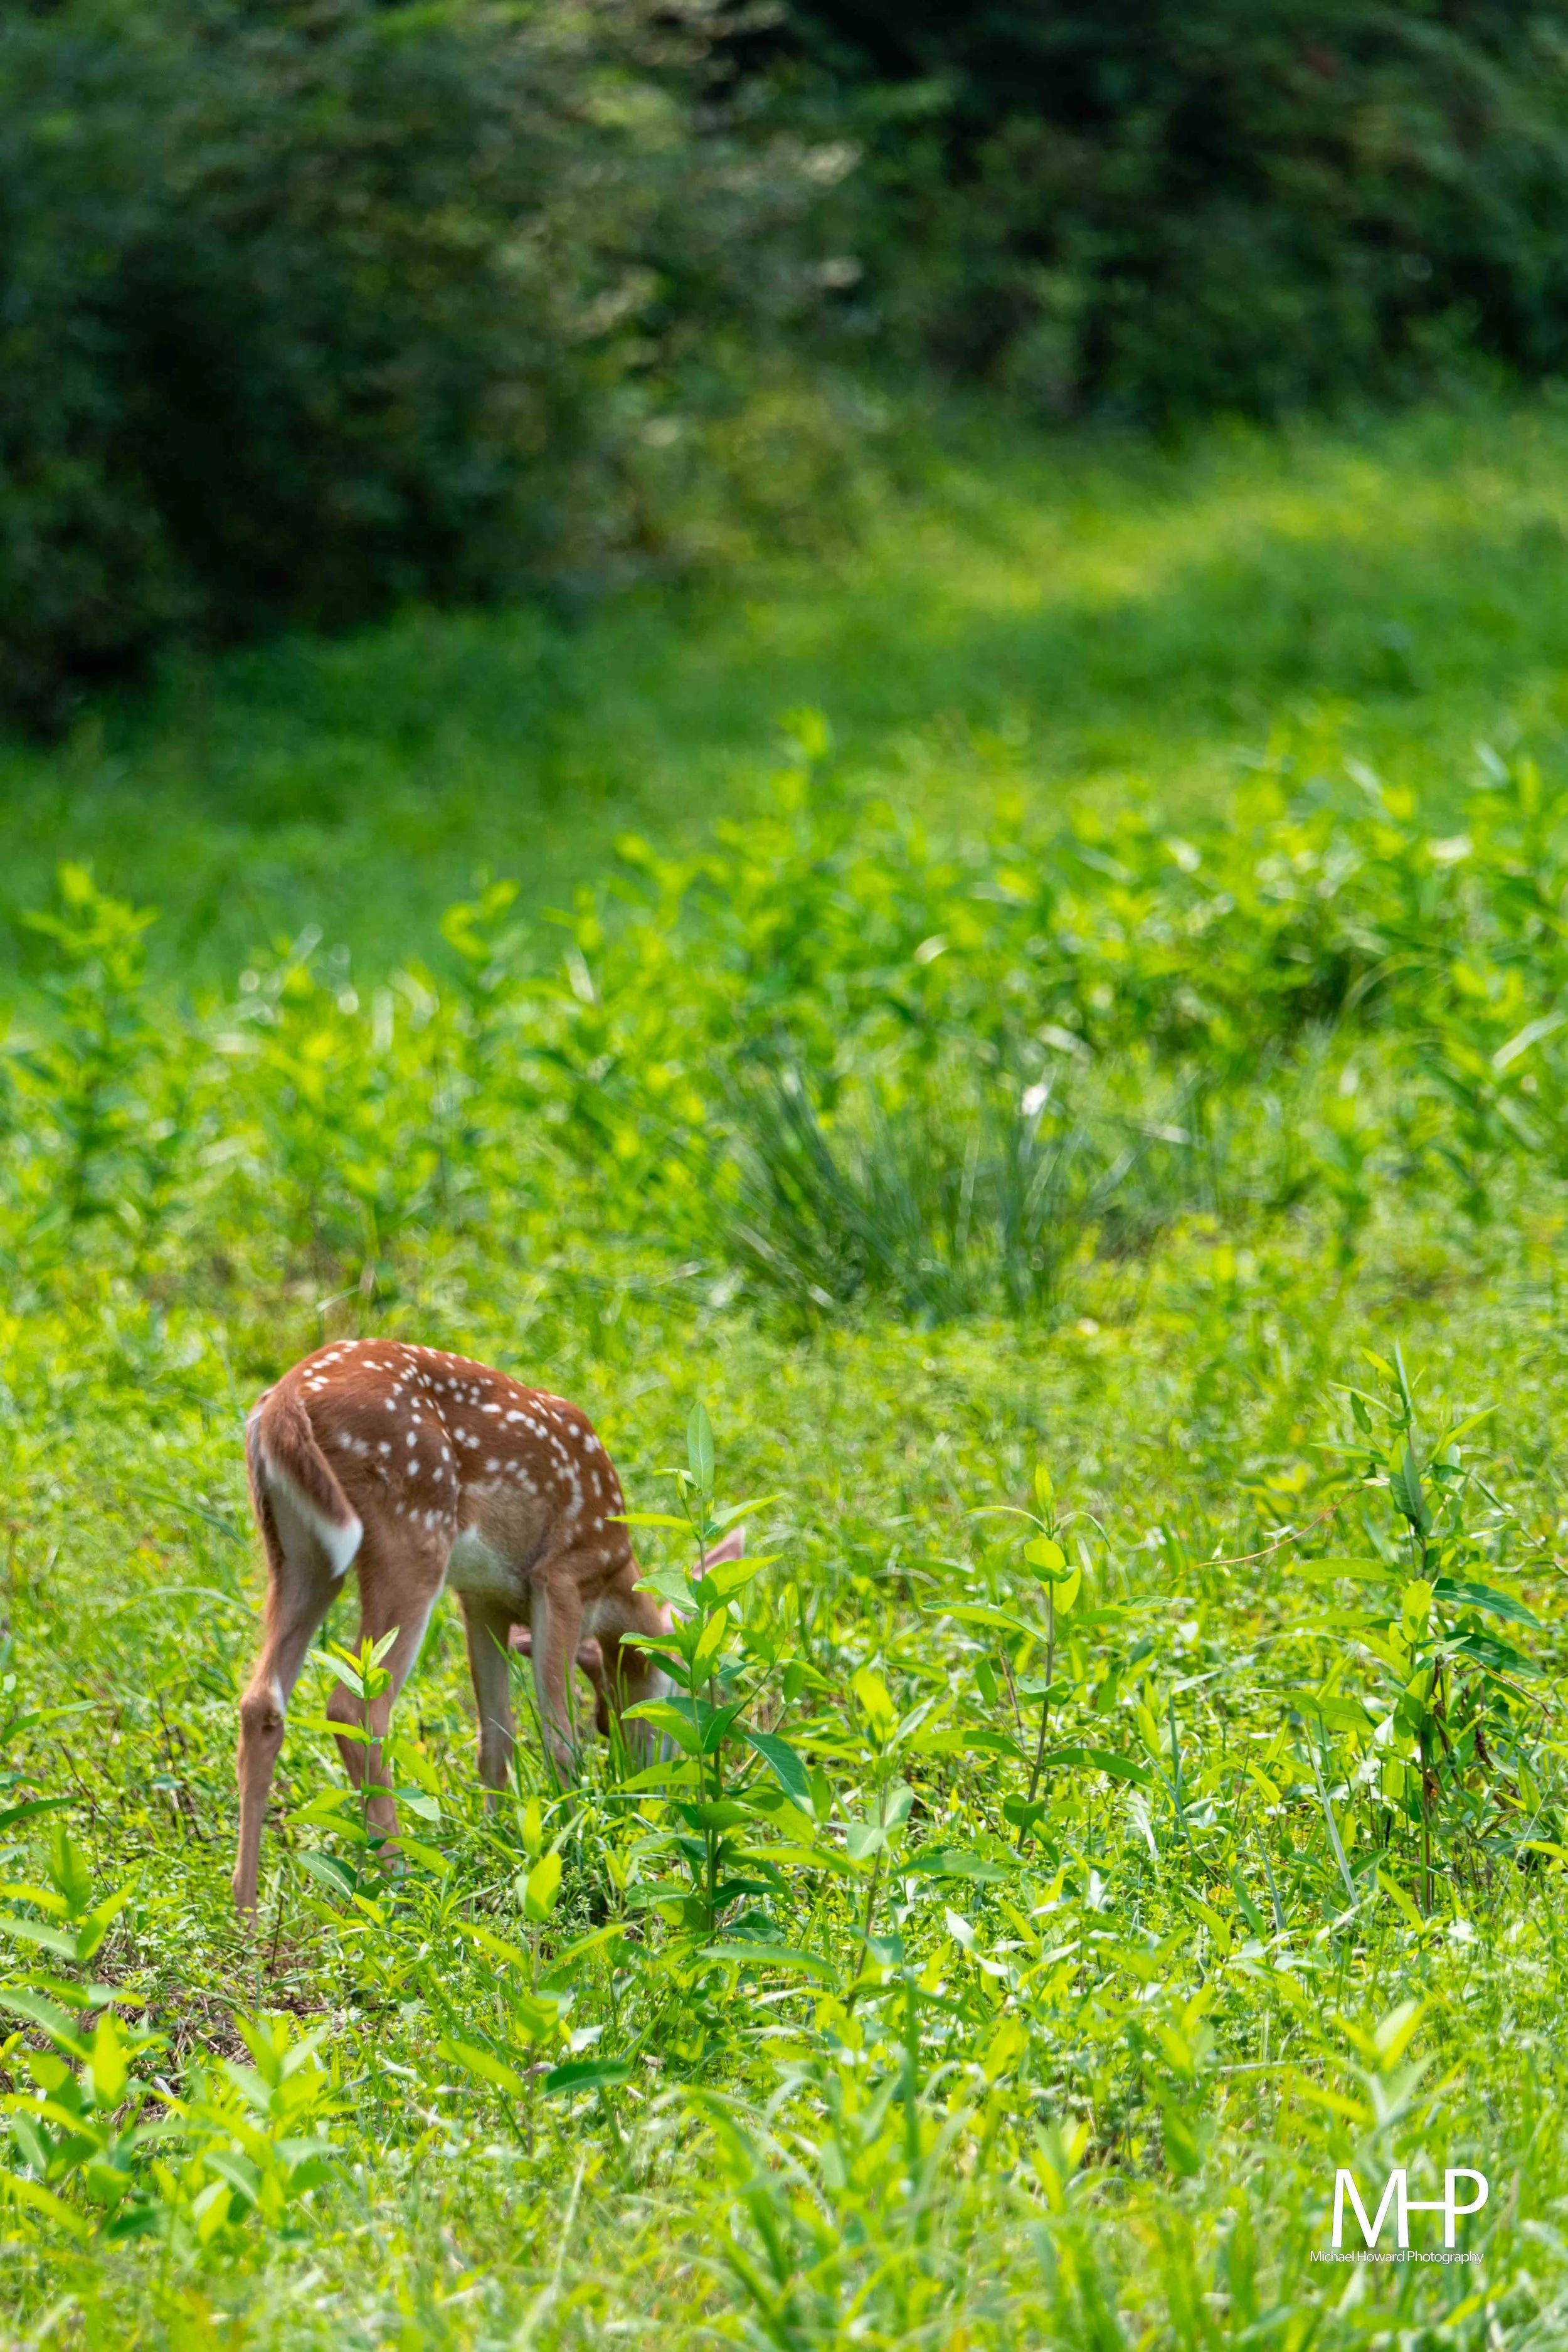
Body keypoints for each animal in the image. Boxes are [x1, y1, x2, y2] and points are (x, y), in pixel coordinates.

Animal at [233, 1337, 742, 1915]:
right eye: (699, 1695)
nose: (652, 1791)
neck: (615, 1580)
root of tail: (283, 1399)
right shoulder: (561, 1576)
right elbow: (558, 1735)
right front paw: (574, 1843)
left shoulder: (482, 1600)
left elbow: (496, 1738)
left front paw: (502, 1840)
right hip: (411, 1532)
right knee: (356, 1707)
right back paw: (401, 1887)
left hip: (297, 1551)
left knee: (261, 1702)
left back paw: (245, 1914)